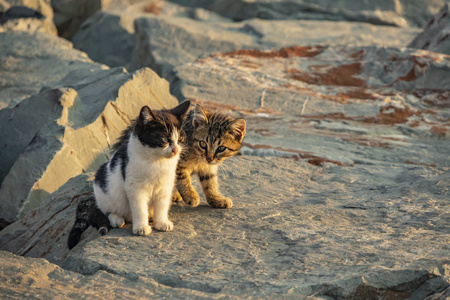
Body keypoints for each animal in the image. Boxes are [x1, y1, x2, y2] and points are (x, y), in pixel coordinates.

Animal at [67, 101, 191, 248]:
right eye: (165, 139)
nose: (175, 150)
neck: (156, 162)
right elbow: (140, 208)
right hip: (102, 188)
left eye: (180, 138)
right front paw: (141, 228)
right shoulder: (135, 188)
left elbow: (162, 206)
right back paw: (116, 219)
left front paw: (161, 223)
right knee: (105, 210)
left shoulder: (165, 186)